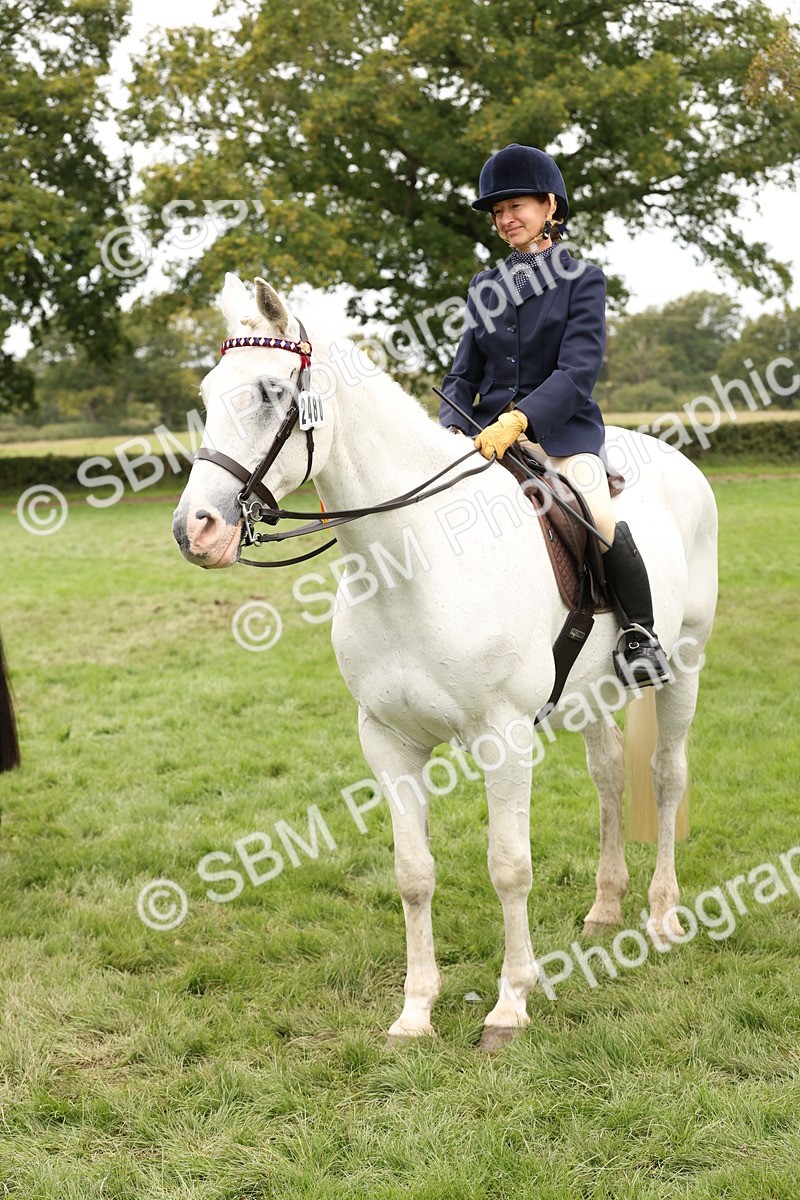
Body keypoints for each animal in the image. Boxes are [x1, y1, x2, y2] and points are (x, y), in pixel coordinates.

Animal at [172, 273, 718, 1047]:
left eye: (274, 392)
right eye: (209, 390)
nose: (197, 529)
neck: (410, 562)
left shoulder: (503, 738)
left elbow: (509, 867)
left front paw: (510, 1006)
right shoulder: (387, 739)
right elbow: (413, 872)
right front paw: (415, 1012)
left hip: (685, 664)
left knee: (666, 776)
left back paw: (664, 916)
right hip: (586, 693)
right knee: (610, 773)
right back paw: (605, 909)